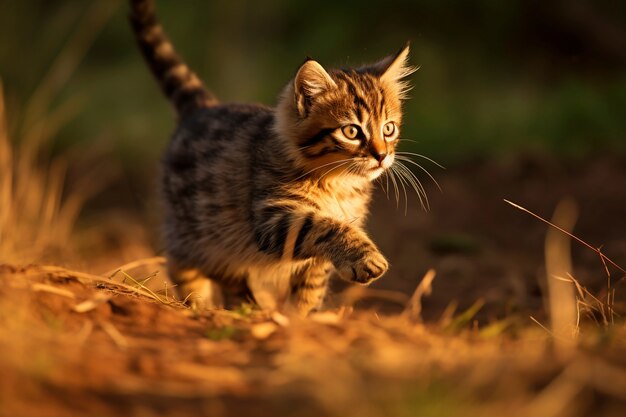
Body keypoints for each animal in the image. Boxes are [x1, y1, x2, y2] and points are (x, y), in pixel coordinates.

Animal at [129, 0, 414, 314]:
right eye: (352, 131)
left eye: (388, 128)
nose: (382, 156)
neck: (338, 182)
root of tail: (202, 108)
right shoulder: (274, 217)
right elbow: (324, 226)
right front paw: (365, 257)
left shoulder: (325, 245)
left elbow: (311, 287)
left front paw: (302, 317)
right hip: (197, 230)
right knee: (188, 266)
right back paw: (204, 306)